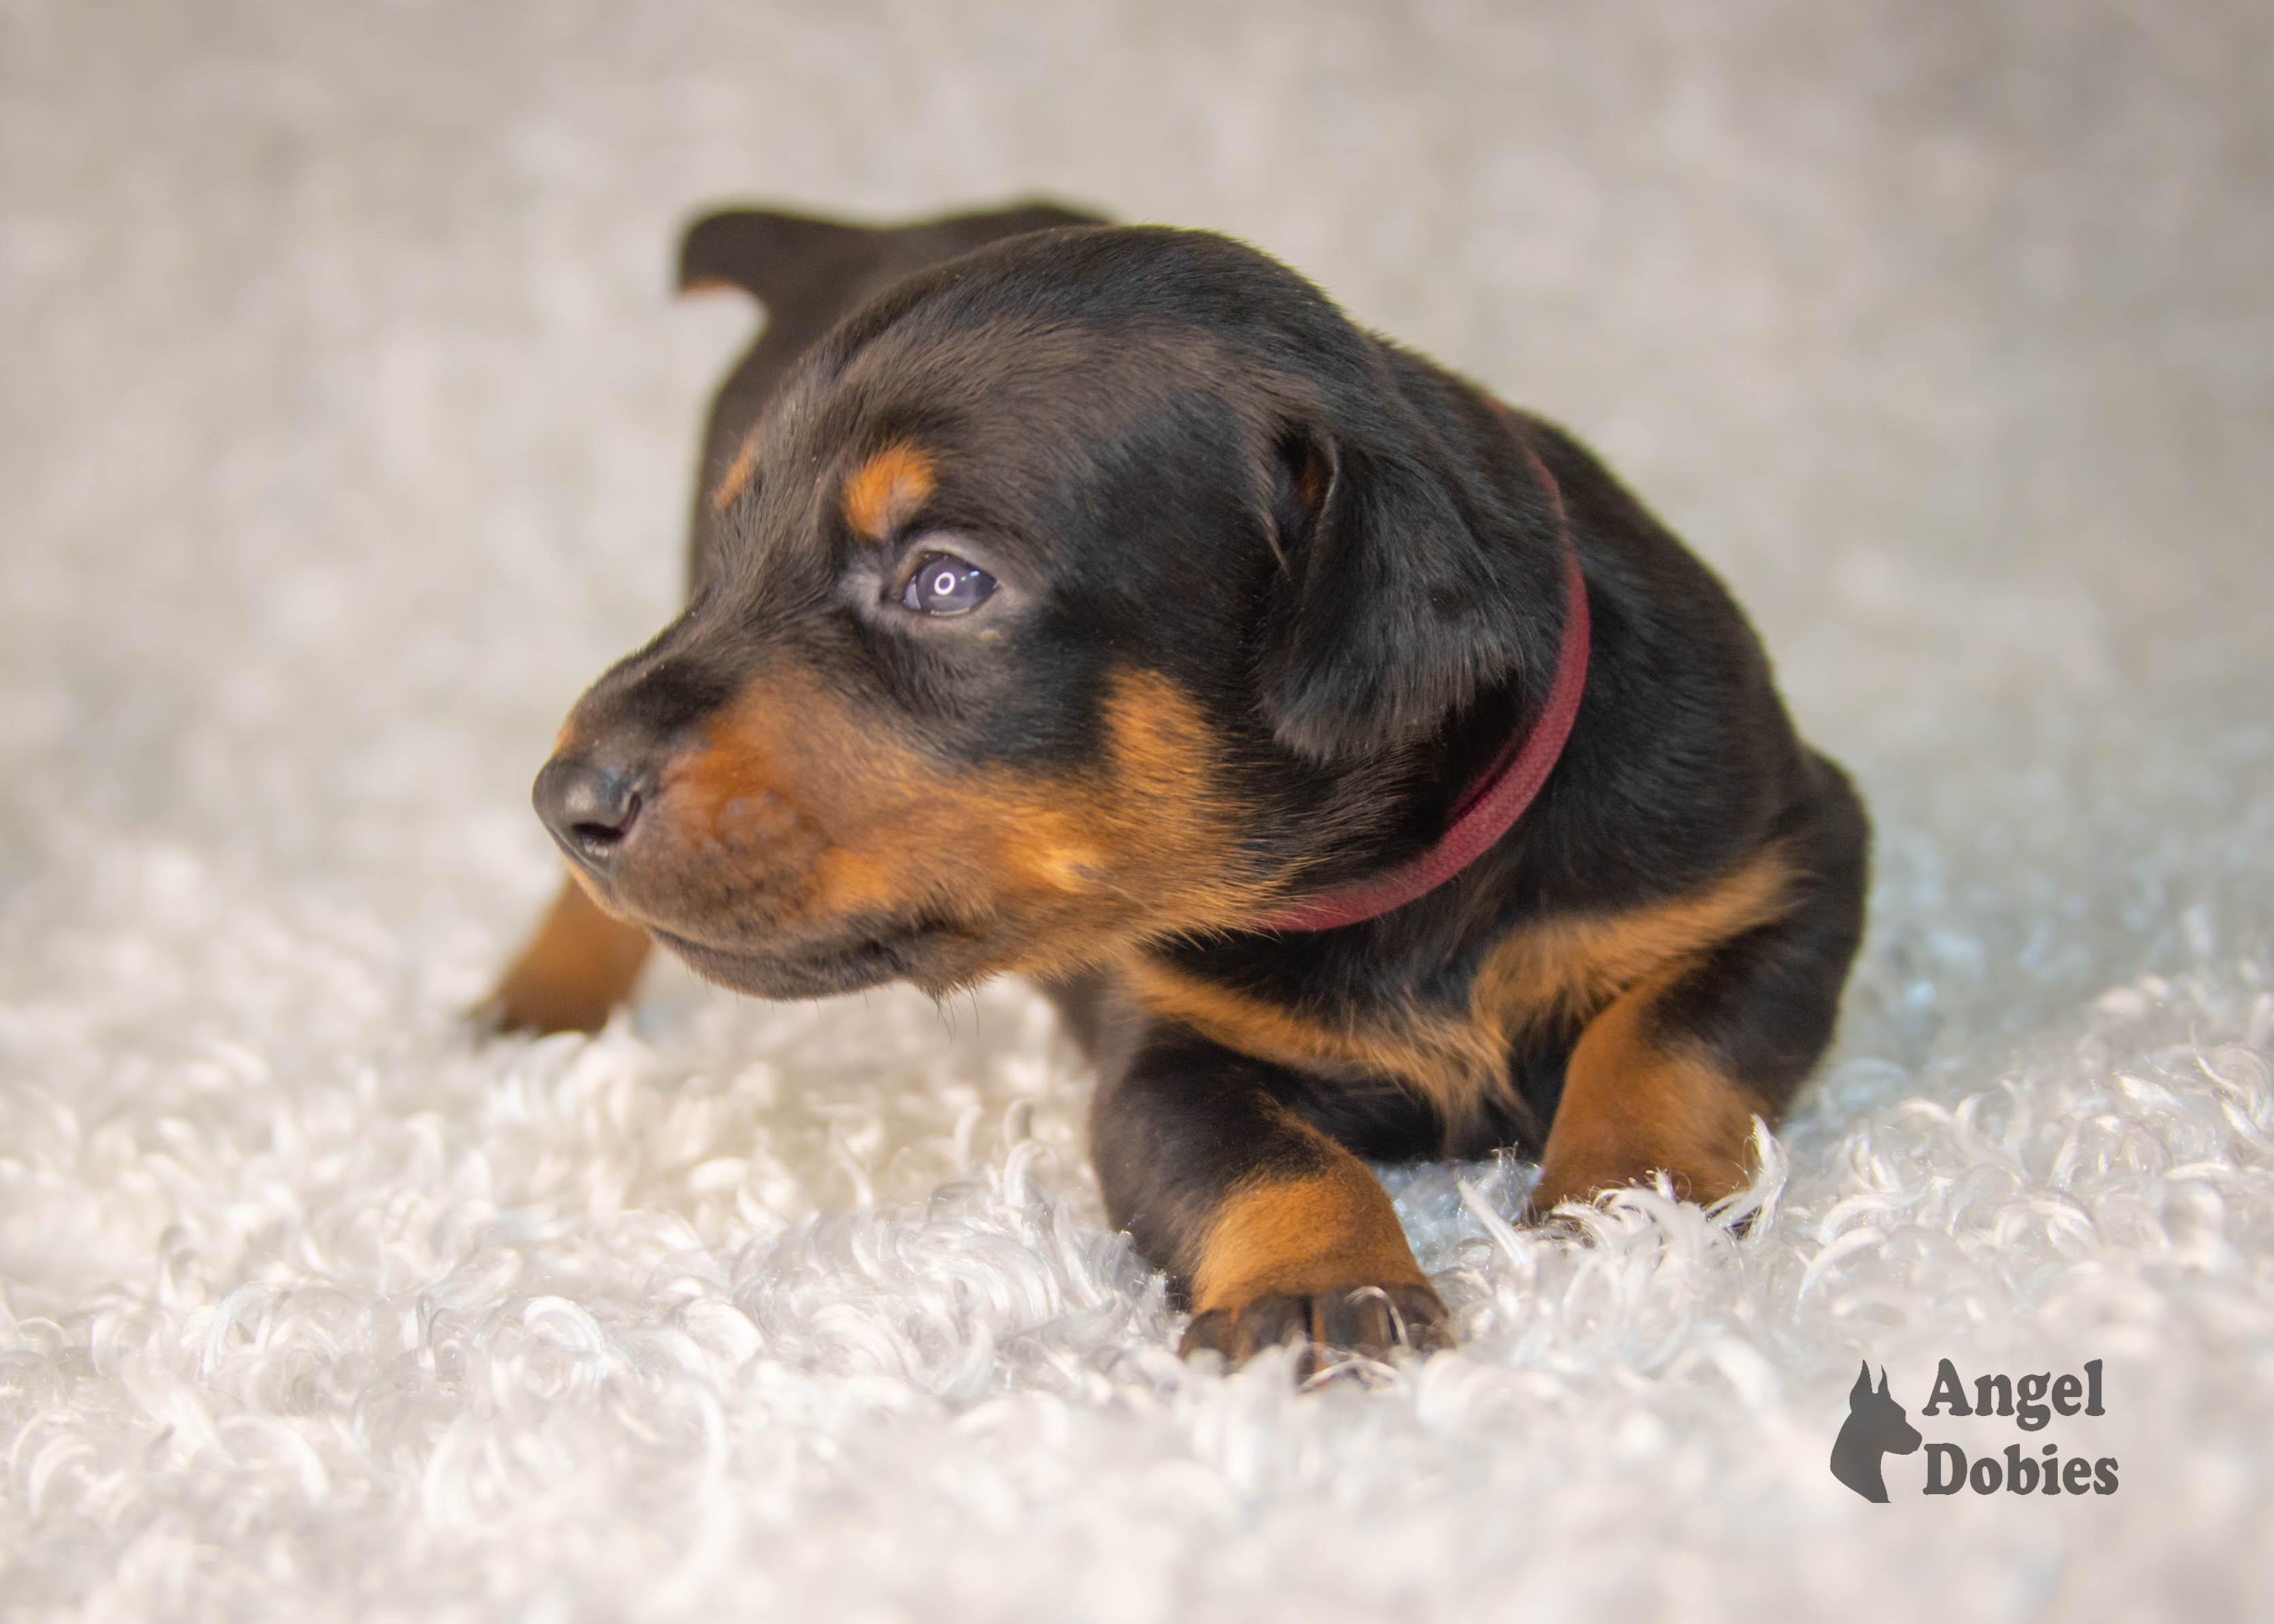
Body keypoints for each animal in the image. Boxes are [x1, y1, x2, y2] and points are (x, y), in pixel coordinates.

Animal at [479, 205, 1864, 1364]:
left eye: (945, 580)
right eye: (740, 552)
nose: (566, 799)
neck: (1383, 880)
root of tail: (856, 230)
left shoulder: (1786, 860)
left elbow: (1670, 1041)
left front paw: (1622, 1213)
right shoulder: (1160, 1050)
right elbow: (1263, 1159)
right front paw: (1320, 1287)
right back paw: (538, 995)